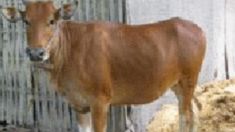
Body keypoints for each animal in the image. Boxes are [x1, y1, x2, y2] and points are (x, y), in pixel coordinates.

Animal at [0, 0, 206, 131]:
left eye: (52, 20)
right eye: (26, 21)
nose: (36, 52)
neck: (70, 50)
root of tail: (197, 29)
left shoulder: (100, 101)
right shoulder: (78, 104)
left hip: (188, 80)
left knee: (186, 116)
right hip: (178, 85)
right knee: (191, 113)